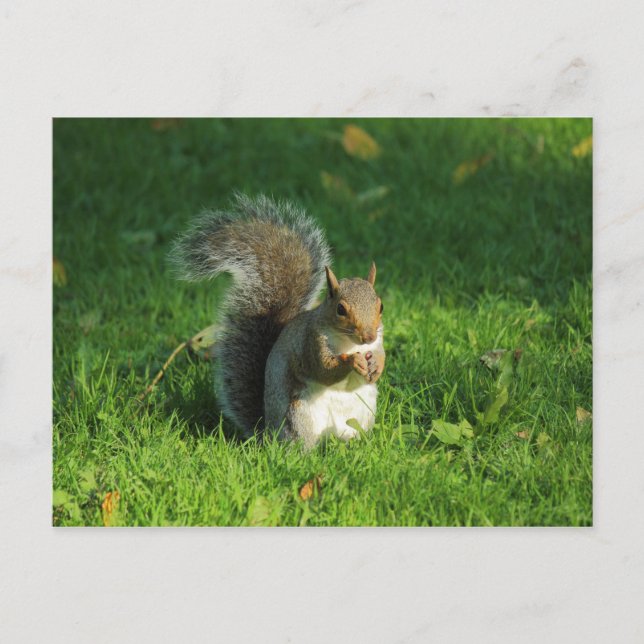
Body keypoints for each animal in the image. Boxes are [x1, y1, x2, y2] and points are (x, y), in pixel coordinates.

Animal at [170, 194, 385, 448]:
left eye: (380, 306)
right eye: (340, 309)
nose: (368, 336)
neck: (350, 343)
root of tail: (269, 434)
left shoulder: (378, 341)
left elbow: (380, 356)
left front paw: (377, 366)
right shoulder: (310, 343)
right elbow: (324, 369)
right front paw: (353, 362)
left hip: (362, 412)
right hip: (299, 415)